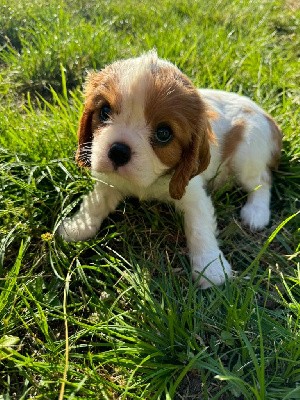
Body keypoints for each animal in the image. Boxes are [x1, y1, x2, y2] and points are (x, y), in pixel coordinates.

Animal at [57, 50, 282, 288]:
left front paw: (210, 268)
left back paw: (256, 213)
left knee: (262, 181)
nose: (118, 151)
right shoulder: (109, 182)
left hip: (247, 153)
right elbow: (95, 203)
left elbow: (199, 228)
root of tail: (269, 118)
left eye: (164, 134)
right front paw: (78, 226)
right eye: (105, 112)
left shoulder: (193, 194)